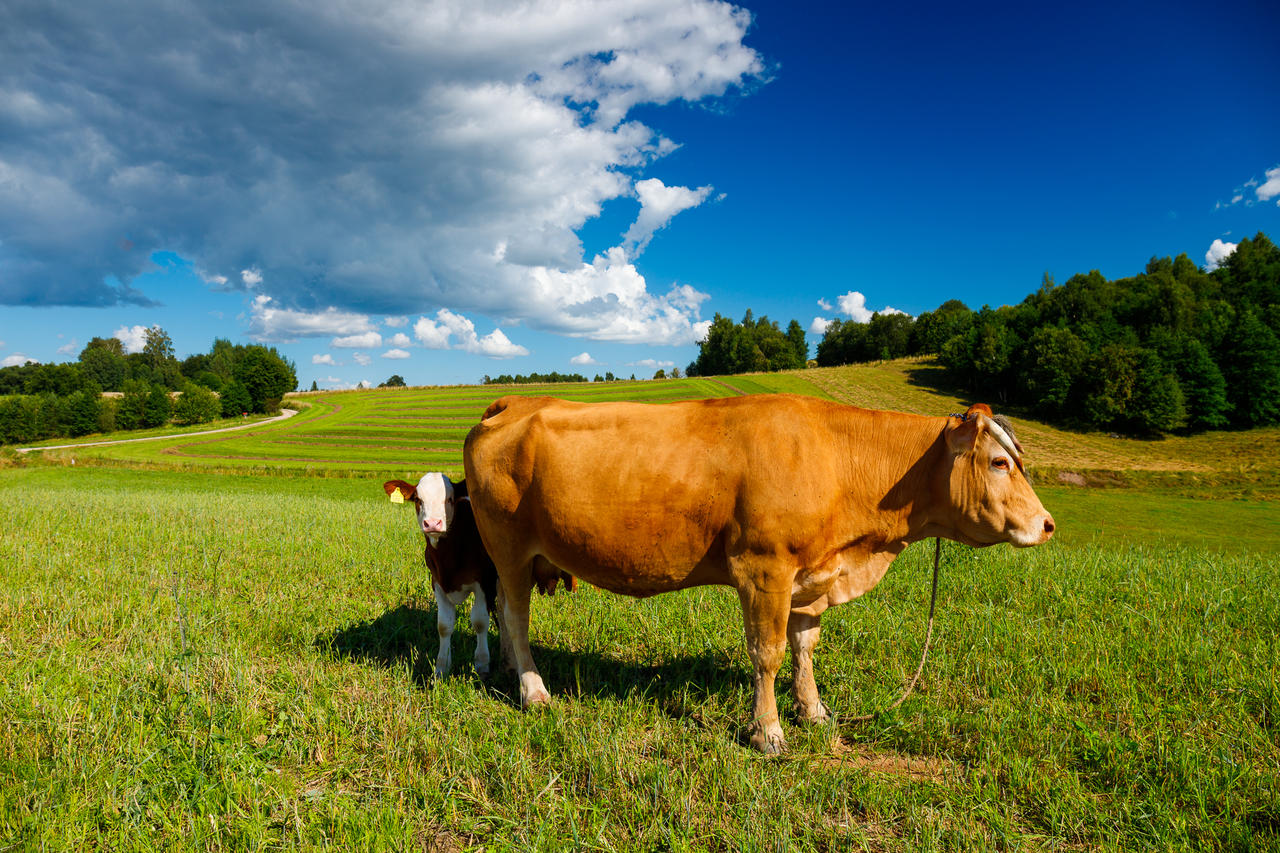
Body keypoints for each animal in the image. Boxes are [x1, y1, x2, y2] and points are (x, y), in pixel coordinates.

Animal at [465, 394, 1054, 753]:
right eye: (1000, 462)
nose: (1047, 524)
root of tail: (517, 401)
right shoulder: (763, 568)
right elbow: (766, 653)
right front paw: (768, 731)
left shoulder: (811, 576)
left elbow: (804, 647)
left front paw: (813, 711)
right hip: (508, 547)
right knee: (516, 618)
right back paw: (533, 690)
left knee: (502, 611)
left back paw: (502, 669)